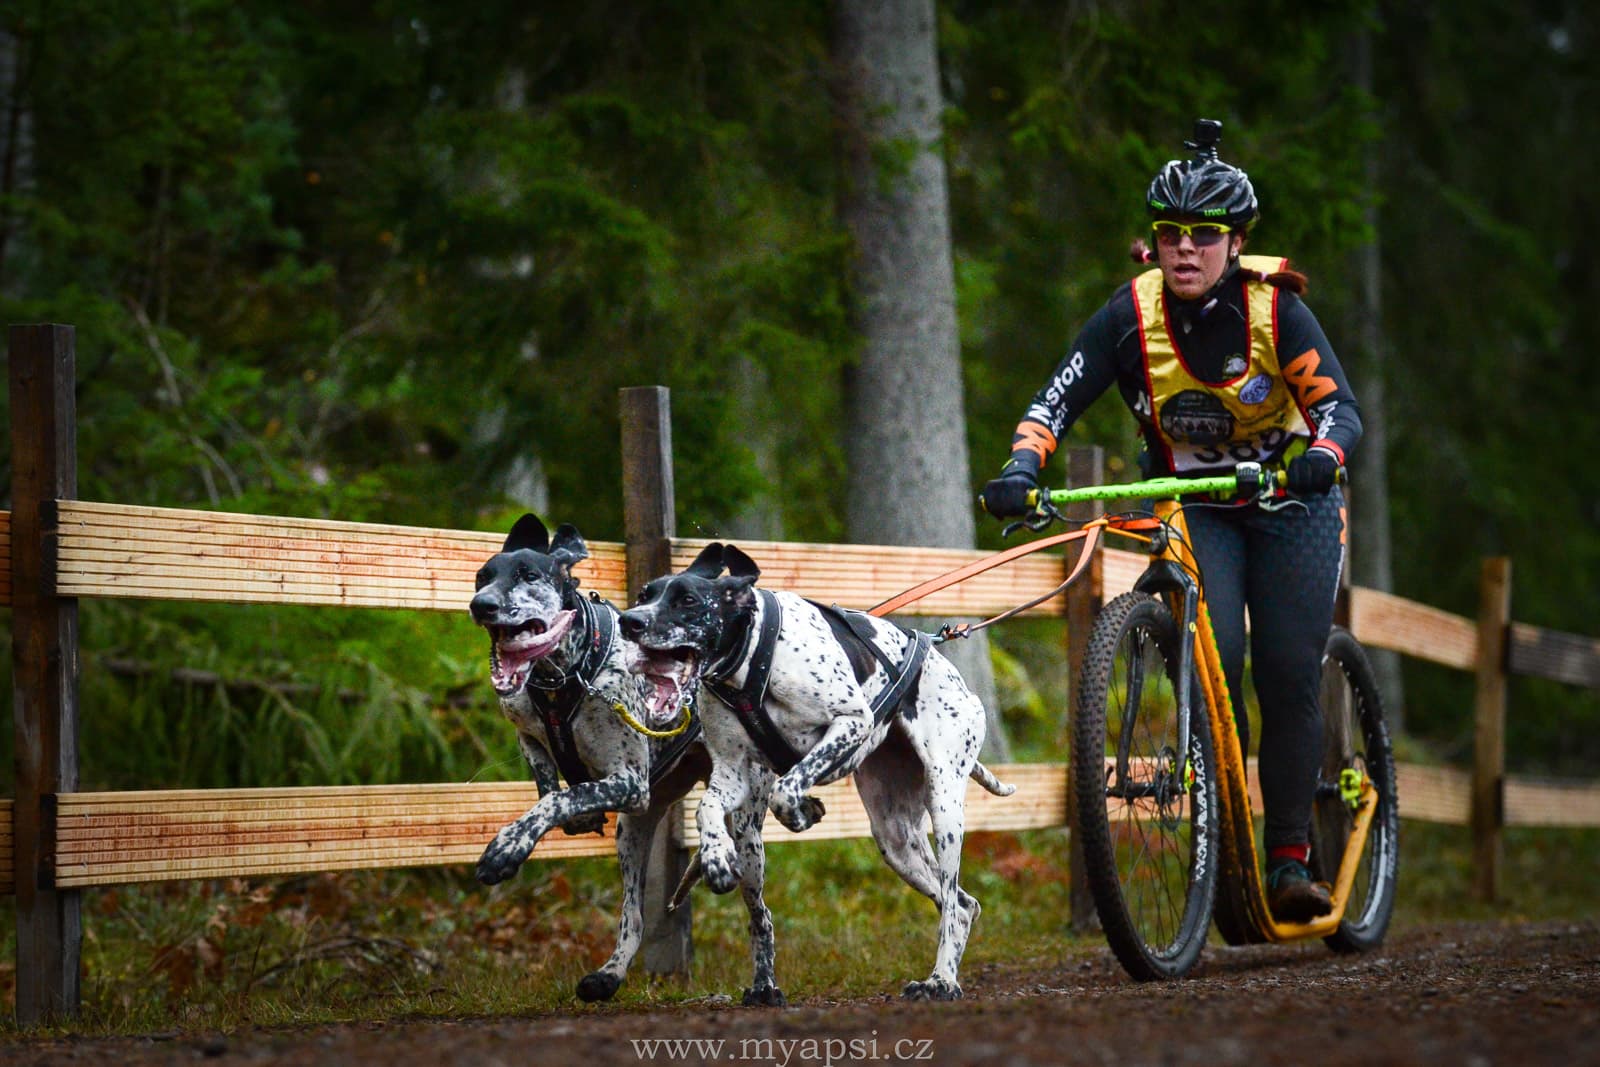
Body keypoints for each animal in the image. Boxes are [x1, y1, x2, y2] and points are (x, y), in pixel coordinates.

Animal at [464, 515, 713, 1004]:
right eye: (483, 576)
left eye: (529, 575)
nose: (481, 605)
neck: (563, 675)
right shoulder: (529, 733)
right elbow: (550, 786)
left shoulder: (628, 781)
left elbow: (556, 799)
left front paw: (507, 848)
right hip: (633, 830)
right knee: (633, 918)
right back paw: (609, 974)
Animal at [614, 547, 1011, 1004]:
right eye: (645, 595)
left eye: (688, 600)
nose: (630, 621)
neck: (754, 658)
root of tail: (960, 685)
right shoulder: (732, 774)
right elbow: (707, 810)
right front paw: (715, 856)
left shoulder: (850, 723)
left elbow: (787, 789)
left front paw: (802, 813)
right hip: (895, 839)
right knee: (960, 905)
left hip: (945, 808)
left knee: (950, 902)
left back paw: (941, 980)